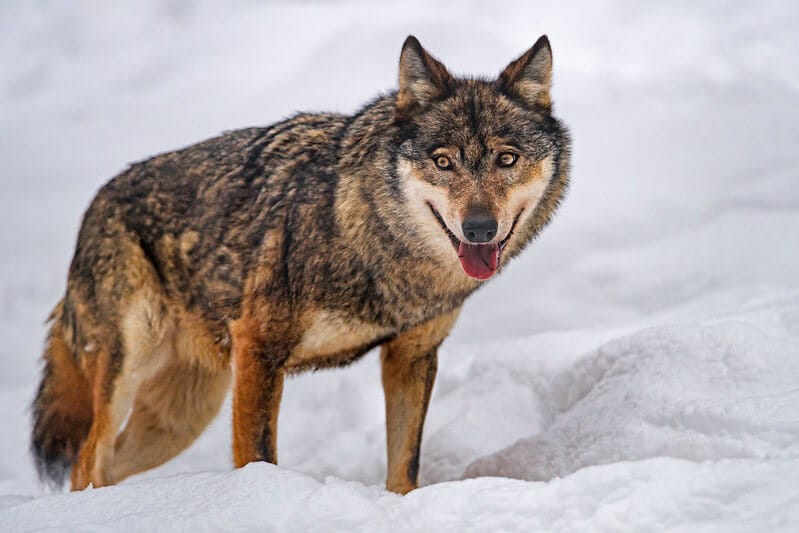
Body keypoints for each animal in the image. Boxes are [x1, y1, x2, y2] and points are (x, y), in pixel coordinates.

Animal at [30, 35, 570, 494]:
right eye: (443, 162)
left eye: (506, 159)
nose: (479, 228)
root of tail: (95, 204)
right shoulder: (259, 349)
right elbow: (258, 457)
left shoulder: (412, 356)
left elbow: (404, 468)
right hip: (134, 369)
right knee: (87, 460)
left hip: (180, 418)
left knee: (106, 465)